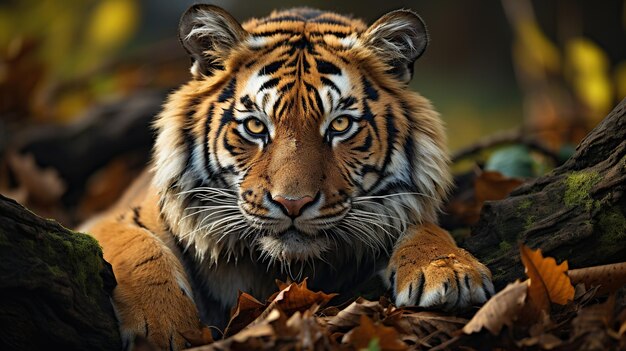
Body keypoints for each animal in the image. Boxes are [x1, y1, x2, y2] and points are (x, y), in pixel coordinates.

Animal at [81, 4, 492, 350]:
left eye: (340, 125)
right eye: (254, 126)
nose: (292, 204)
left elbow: (423, 225)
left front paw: (449, 270)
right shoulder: (107, 219)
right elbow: (135, 245)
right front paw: (163, 324)